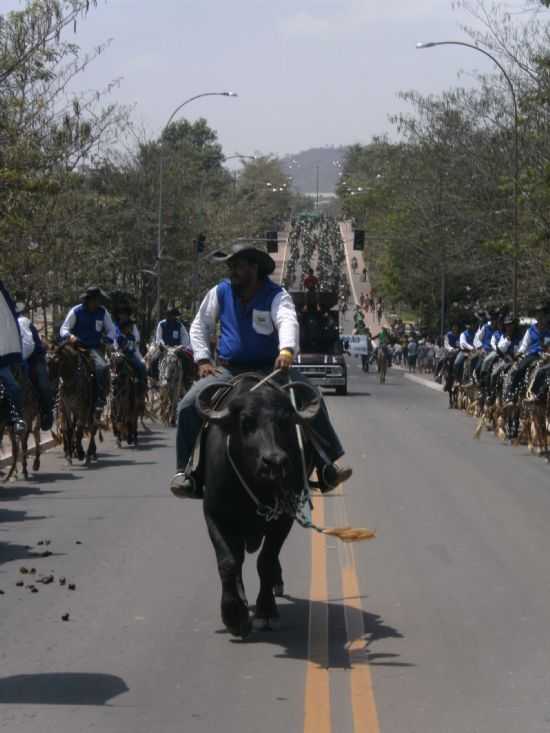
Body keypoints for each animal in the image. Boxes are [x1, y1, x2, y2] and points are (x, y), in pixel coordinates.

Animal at [197, 374, 320, 636]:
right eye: (246, 422)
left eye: (284, 422)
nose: (274, 462)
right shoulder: (214, 514)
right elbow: (228, 562)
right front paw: (234, 615)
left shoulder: (283, 517)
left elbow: (266, 561)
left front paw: (265, 612)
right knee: (238, 558)